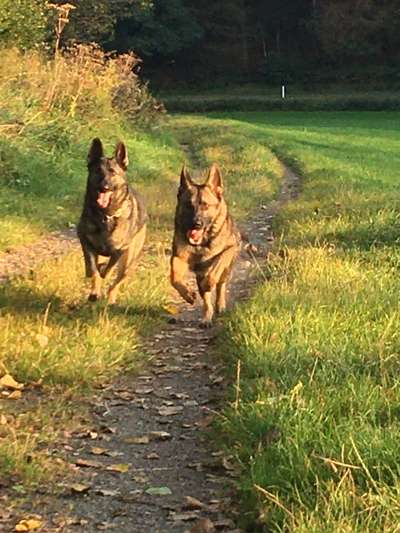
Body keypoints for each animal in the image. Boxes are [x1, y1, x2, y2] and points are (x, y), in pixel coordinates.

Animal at [76, 137, 147, 304]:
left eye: (113, 172)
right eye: (97, 171)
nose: (104, 187)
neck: (105, 215)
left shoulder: (118, 251)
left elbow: (106, 272)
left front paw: (102, 278)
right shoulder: (85, 241)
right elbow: (93, 270)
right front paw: (94, 291)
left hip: (128, 262)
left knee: (116, 283)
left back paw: (111, 300)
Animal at [170, 164, 239, 326]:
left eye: (205, 205)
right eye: (188, 205)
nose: (196, 223)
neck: (201, 244)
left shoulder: (229, 250)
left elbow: (217, 266)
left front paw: (209, 281)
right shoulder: (179, 257)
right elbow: (174, 277)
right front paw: (187, 294)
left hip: (227, 269)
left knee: (220, 285)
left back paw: (219, 304)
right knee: (207, 302)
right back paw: (206, 318)